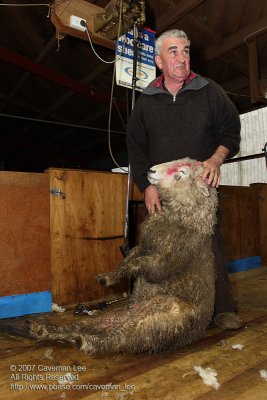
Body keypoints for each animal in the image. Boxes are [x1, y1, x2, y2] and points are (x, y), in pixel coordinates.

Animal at [28, 158, 219, 354]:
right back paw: (44, 330)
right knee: (79, 326)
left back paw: (79, 340)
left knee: (108, 341)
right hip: (113, 317)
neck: (186, 221)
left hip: (150, 325)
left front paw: (110, 278)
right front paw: (109, 277)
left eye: (182, 172)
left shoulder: (164, 262)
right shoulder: (144, 246)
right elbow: (130, 256)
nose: (151, 170)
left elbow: (137, 262)